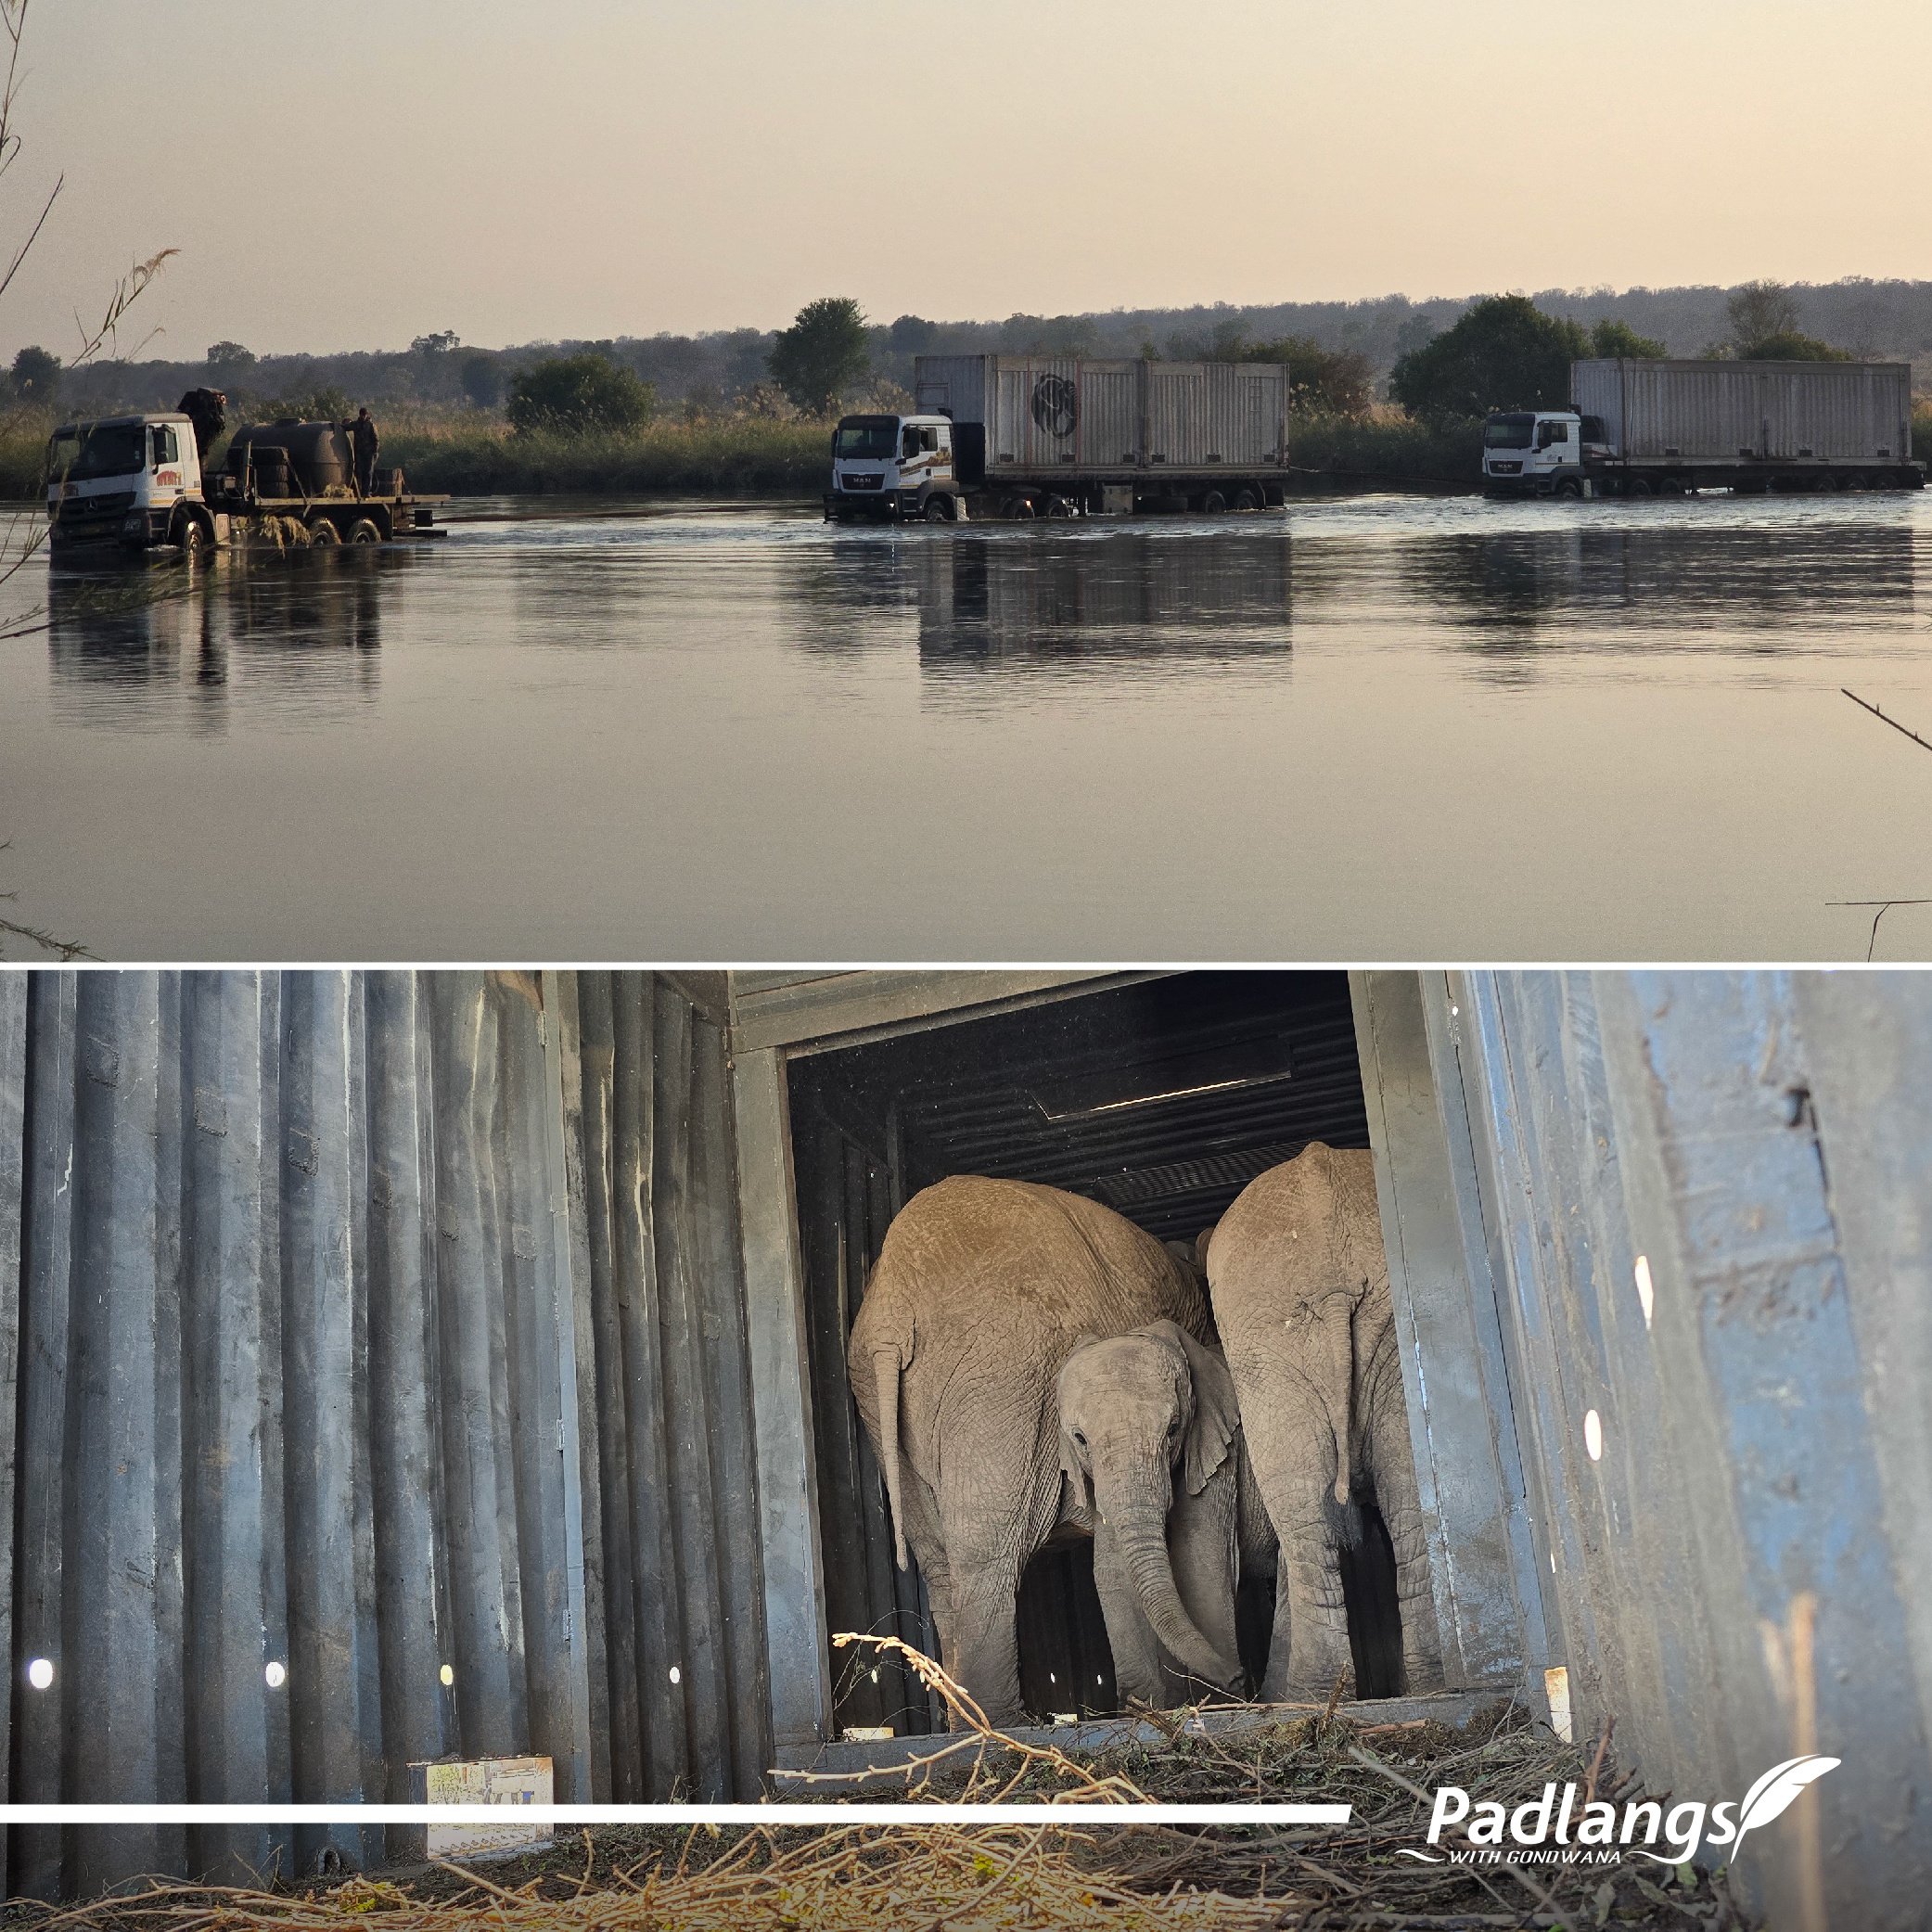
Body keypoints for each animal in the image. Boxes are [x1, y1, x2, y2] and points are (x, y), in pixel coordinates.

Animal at [848, 1174, 1226, 1726]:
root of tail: (892, 1310)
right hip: (1001, 1374)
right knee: (989, 1548)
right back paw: (1000, 1722)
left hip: (886, 1407)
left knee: (941, 1562)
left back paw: (968, 1721)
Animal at [1056, 1320, 1277, 1709]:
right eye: (1080, 1439)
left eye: (1173, 1429)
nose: (1237, 1677)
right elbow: (1111, 1568)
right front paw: (1143, 1706)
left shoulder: (1221, 1448)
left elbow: (1199, 1558)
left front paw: (1216, 1701)